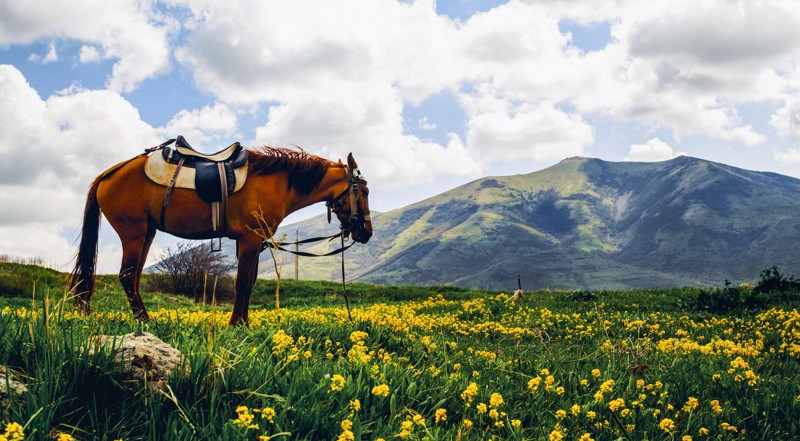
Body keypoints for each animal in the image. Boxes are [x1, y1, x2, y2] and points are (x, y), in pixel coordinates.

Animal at [67, 143, 374, 324]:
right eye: (365, 191)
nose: (366, 232)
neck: (277, 183)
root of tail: (110, 173)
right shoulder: (250, 239)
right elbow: (243, 284)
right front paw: (238, 324)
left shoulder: (253, 243)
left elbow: (249, 283)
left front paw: (243, 322)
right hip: (133, 233)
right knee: (127, 276)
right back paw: (145, 320)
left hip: (147, 233)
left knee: (133, 277)